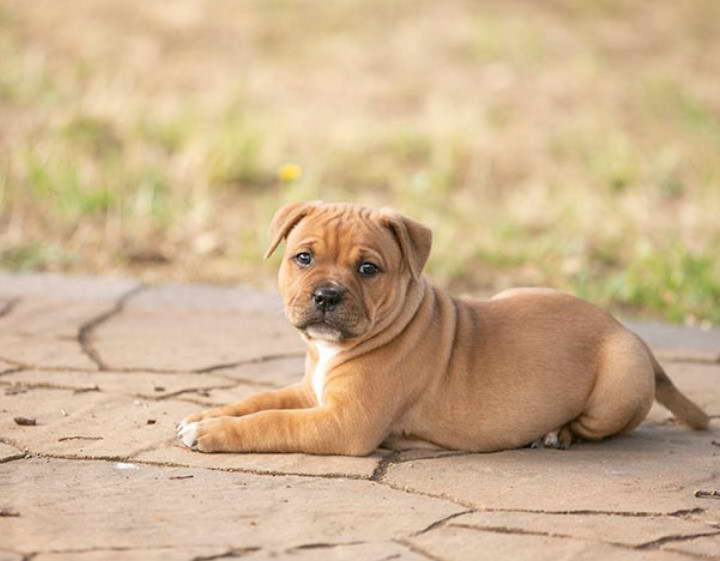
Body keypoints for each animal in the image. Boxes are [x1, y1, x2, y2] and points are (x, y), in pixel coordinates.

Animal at [179, 201, 708, 456]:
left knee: (597, 427)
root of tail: (628, 331)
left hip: (618, 380)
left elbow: (272, 422)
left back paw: (555, 435)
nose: (326, 296)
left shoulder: (343, 422)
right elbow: (259, 401)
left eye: (368, 269)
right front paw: (207, 414)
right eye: (303, 258)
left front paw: (214, 432)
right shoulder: (313, 392)